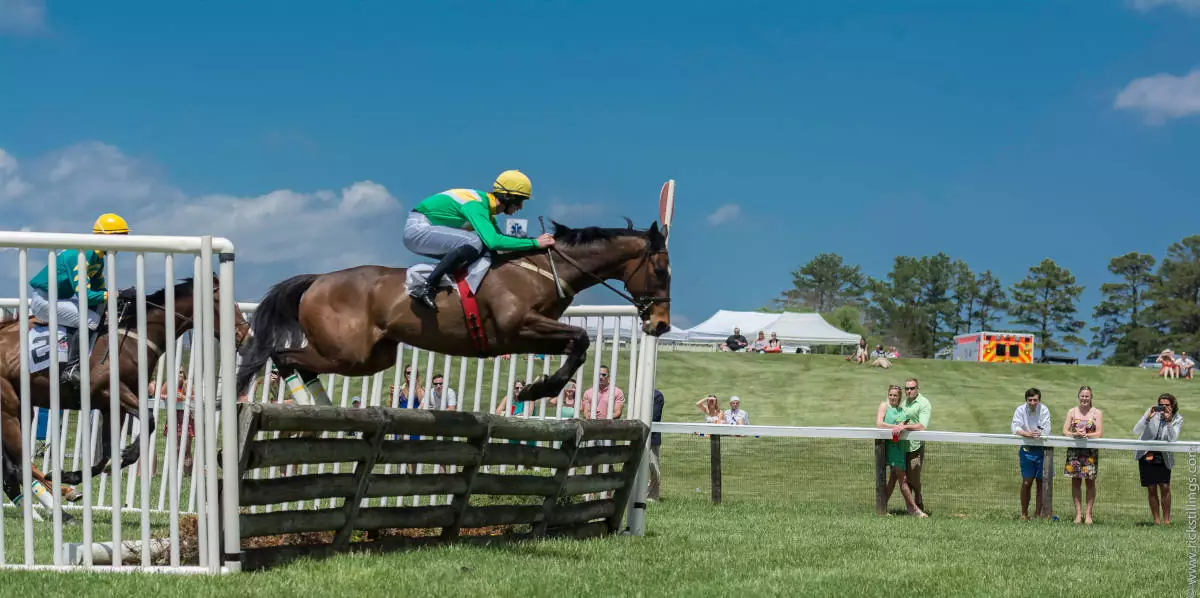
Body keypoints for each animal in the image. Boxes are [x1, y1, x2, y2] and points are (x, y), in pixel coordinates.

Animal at [0, 276, 249, 489]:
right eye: (222, 302)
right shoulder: (110, 390)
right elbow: (149, 420)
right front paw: (128, 452)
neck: (132, 338)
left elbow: (107, 454)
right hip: (10, 407)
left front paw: (71, 475)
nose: (245, 334)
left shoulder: (112, 406)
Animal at [231, 217, 667, 403]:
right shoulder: (518, 326)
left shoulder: (528, 334)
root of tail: (318, 279)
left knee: (295, 361)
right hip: (346, 353)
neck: (543, 268)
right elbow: (580, 338)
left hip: (372, 358)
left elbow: (578, 346)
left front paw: (538, 387)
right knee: (283, 356)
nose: (661, 324)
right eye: (662, 270)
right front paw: (538, 389)